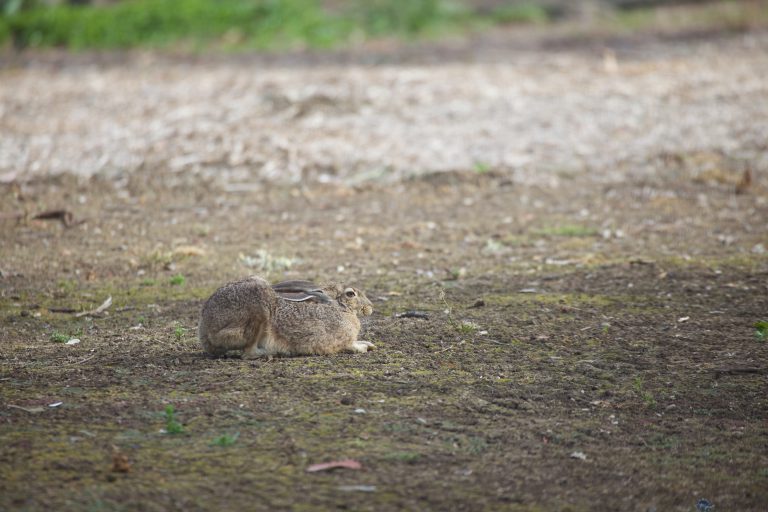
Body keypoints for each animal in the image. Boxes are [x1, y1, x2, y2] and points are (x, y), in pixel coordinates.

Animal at [198, 276, 375, 359]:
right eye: (351, 294)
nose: (370, 307)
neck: (339, 307)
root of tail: (205, 329)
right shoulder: (335, 341)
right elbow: (349, 345)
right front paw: (363, 348)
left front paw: (369, 344)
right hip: (258, 309)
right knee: (248, 353)